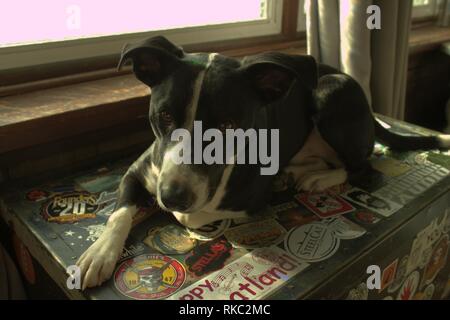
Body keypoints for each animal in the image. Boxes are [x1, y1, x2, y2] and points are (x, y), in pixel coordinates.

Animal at [75, 36, 448, 288]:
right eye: (164, 116)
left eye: (228, 126)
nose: (172, 195)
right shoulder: (138, 171)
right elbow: (120, 212)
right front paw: (100, 252)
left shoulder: (248, 198)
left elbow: (191, 214)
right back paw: (295, 171)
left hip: (331, 92)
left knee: (363, 167)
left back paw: (317, 178)